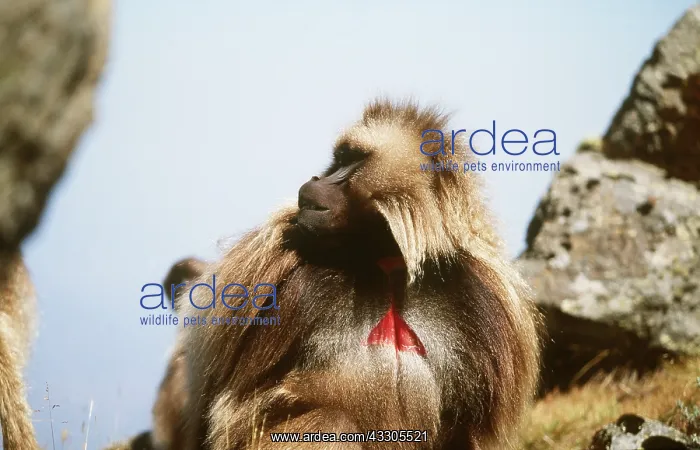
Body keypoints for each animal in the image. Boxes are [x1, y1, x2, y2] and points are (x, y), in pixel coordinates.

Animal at [179, 99, 543, 450]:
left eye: (353, 159)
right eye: (338, 159)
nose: (316, 180)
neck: (386, 261)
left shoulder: (485, 300)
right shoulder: (269, 269)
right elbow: (235, 413)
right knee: (333, 422)